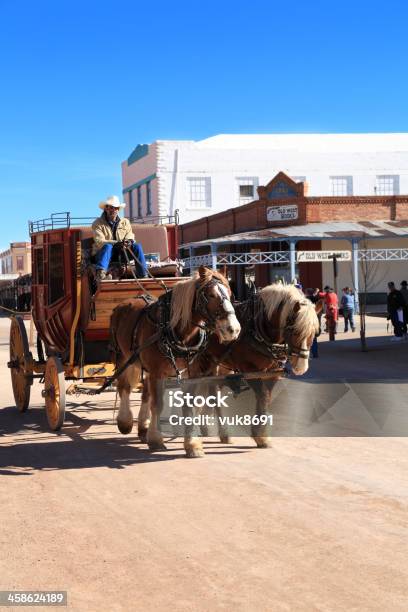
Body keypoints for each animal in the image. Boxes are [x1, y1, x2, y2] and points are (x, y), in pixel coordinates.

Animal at [110, 266, 241, 456]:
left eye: (230, 293)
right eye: (210, 295)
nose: (234, 329)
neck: (175, 331)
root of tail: (125, 302)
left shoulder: (190, 374)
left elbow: (189, 406)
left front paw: (192, 444)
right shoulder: (157, 373)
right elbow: (158, 404)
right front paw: (156, 440)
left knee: (145, 395)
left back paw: (143, 428)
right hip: (123, 358)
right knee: (124, 388)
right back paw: (125, 422)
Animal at [198, 284, 322, 450]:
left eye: (315, 333)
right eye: (294, 330)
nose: (301, 367)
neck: (258, 329)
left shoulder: (272, 372)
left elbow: (266, 398)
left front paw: (261, 434)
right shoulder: (250, 370)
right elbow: (262, 396)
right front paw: (260, 435)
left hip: (221, 365)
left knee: (214, 389)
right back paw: (223, 432)